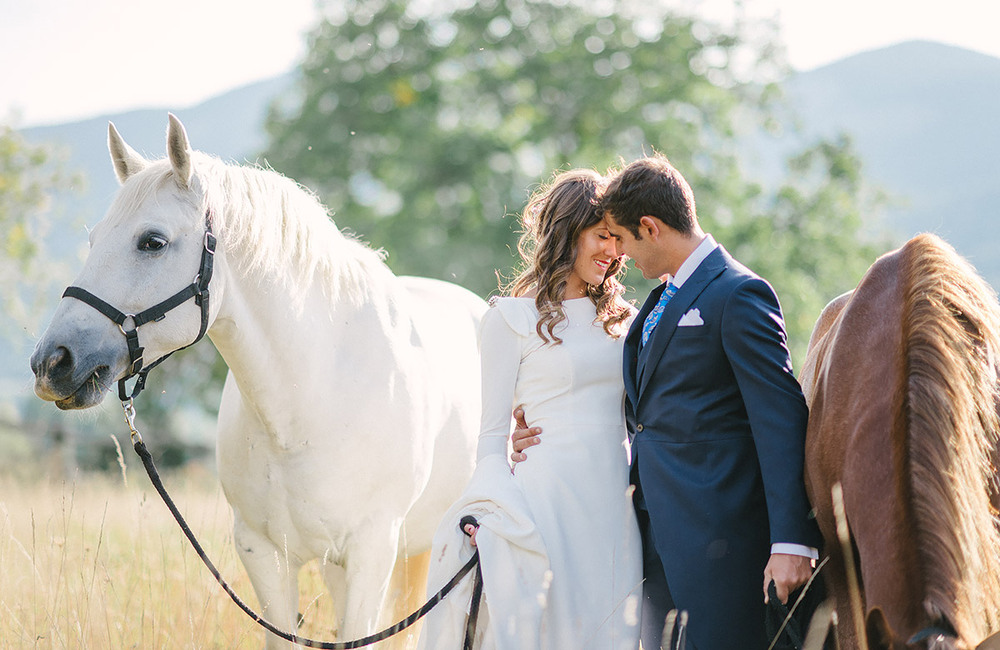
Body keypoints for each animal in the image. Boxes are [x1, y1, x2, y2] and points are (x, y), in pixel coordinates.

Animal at [28, 114, 484, 644]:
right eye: (94, 239)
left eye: (152, 241)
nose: (53, 363)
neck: (309, 404)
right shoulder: (263, 553)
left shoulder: (371, 551)